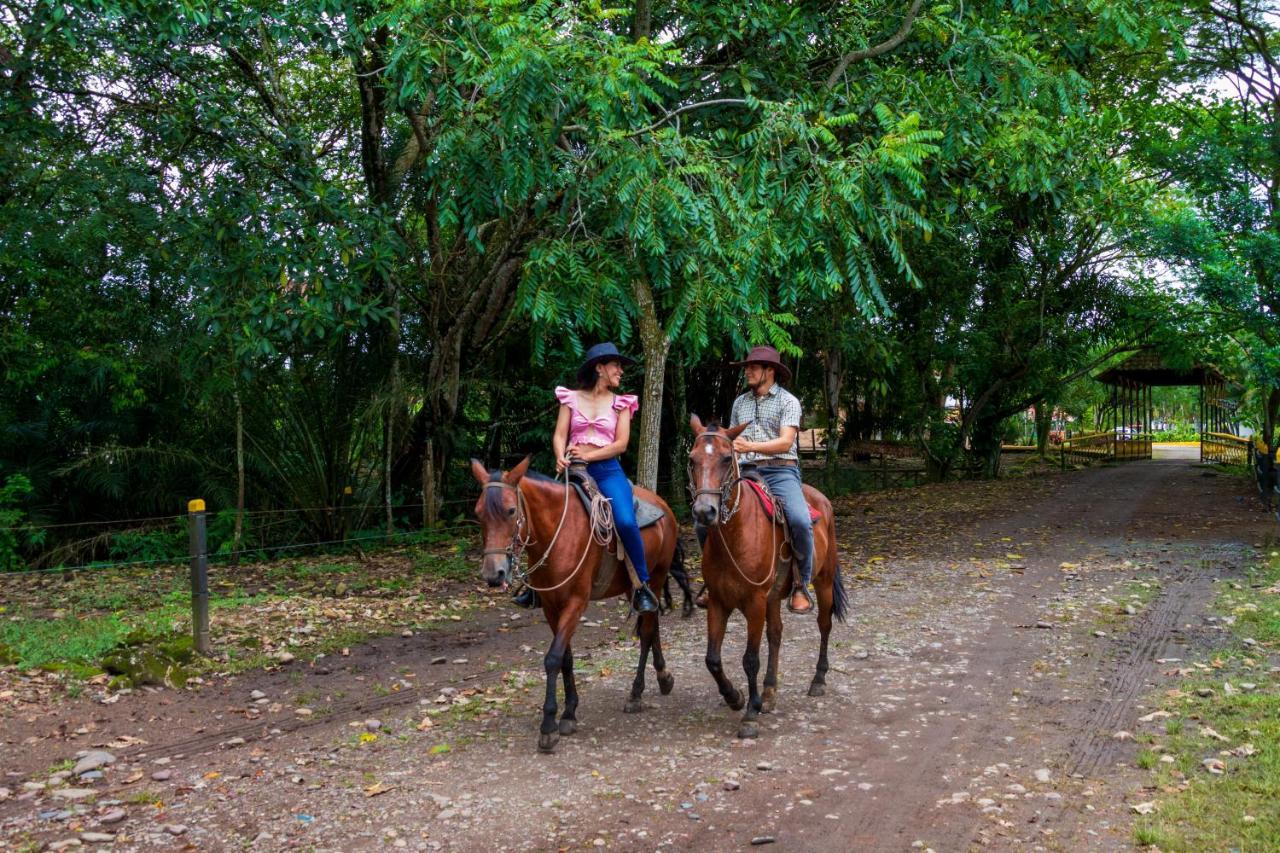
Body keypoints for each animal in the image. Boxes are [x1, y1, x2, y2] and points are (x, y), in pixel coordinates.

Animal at [473, 455, 691, 747]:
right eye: (478, 513)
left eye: (510, 511)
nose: (493, 574)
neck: (557, 532)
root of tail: (663, 504)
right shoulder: (551, 607)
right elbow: (565, 658)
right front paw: (569, 712)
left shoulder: (575, 603)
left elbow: (553, 658)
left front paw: (549, 724)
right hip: (633, 587)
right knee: (651, 624)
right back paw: (664, 677)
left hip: (655, 577)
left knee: (646, 632)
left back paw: (636, 694)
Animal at [686, 417, 844, 737]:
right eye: (692, 459)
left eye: (726, 458)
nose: (704, 512)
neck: (735, 534)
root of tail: (822, 501)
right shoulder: (719, 602)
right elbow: (712, 659)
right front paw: (735, 697)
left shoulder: (755, 602)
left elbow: (750, 659)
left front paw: (750, 714)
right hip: (773, 597)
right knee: (776, 634)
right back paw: (770, 693)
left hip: (822, 581)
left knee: (824, 625)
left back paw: (818, 680)